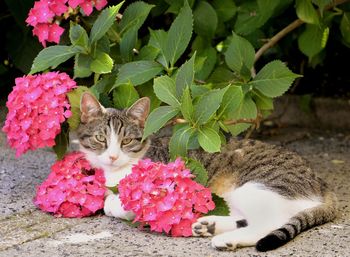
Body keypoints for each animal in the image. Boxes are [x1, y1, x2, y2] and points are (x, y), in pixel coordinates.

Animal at [77, 92, 340, 250]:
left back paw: (226, 239)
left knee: (271, 221)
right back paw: (208, 225)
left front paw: (117, 203)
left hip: (256, 186)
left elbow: (115, 204)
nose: (112, 156)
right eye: (101, 138)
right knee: (247, 218)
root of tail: (323, 184)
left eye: (127, 141)